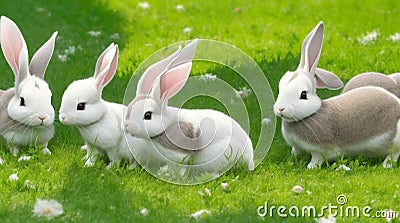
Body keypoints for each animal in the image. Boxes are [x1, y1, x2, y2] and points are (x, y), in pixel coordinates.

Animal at [0, 15, 57, 156]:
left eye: (50, 98)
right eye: (22, 101)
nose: (42, 117)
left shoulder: (44, 140)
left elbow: (43, 146)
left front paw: (47, 153)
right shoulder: (11, 138)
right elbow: (14, 148)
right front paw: (16, 156)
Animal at [123, 38, 255, 174]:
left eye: (148, 115)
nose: (126, 126)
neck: (166, 126)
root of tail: (250, 157)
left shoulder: (179, 155)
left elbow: (178, 165)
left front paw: (166, 173)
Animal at [274, 22, 400, 169]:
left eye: (303, 94)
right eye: (280, 88)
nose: (281, 109)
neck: (311, 114)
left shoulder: (321, 149)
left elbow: (316, 159)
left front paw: (310, 167)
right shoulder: (297, 147)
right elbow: (295, 151)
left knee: (394, 153)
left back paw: (386, 165)